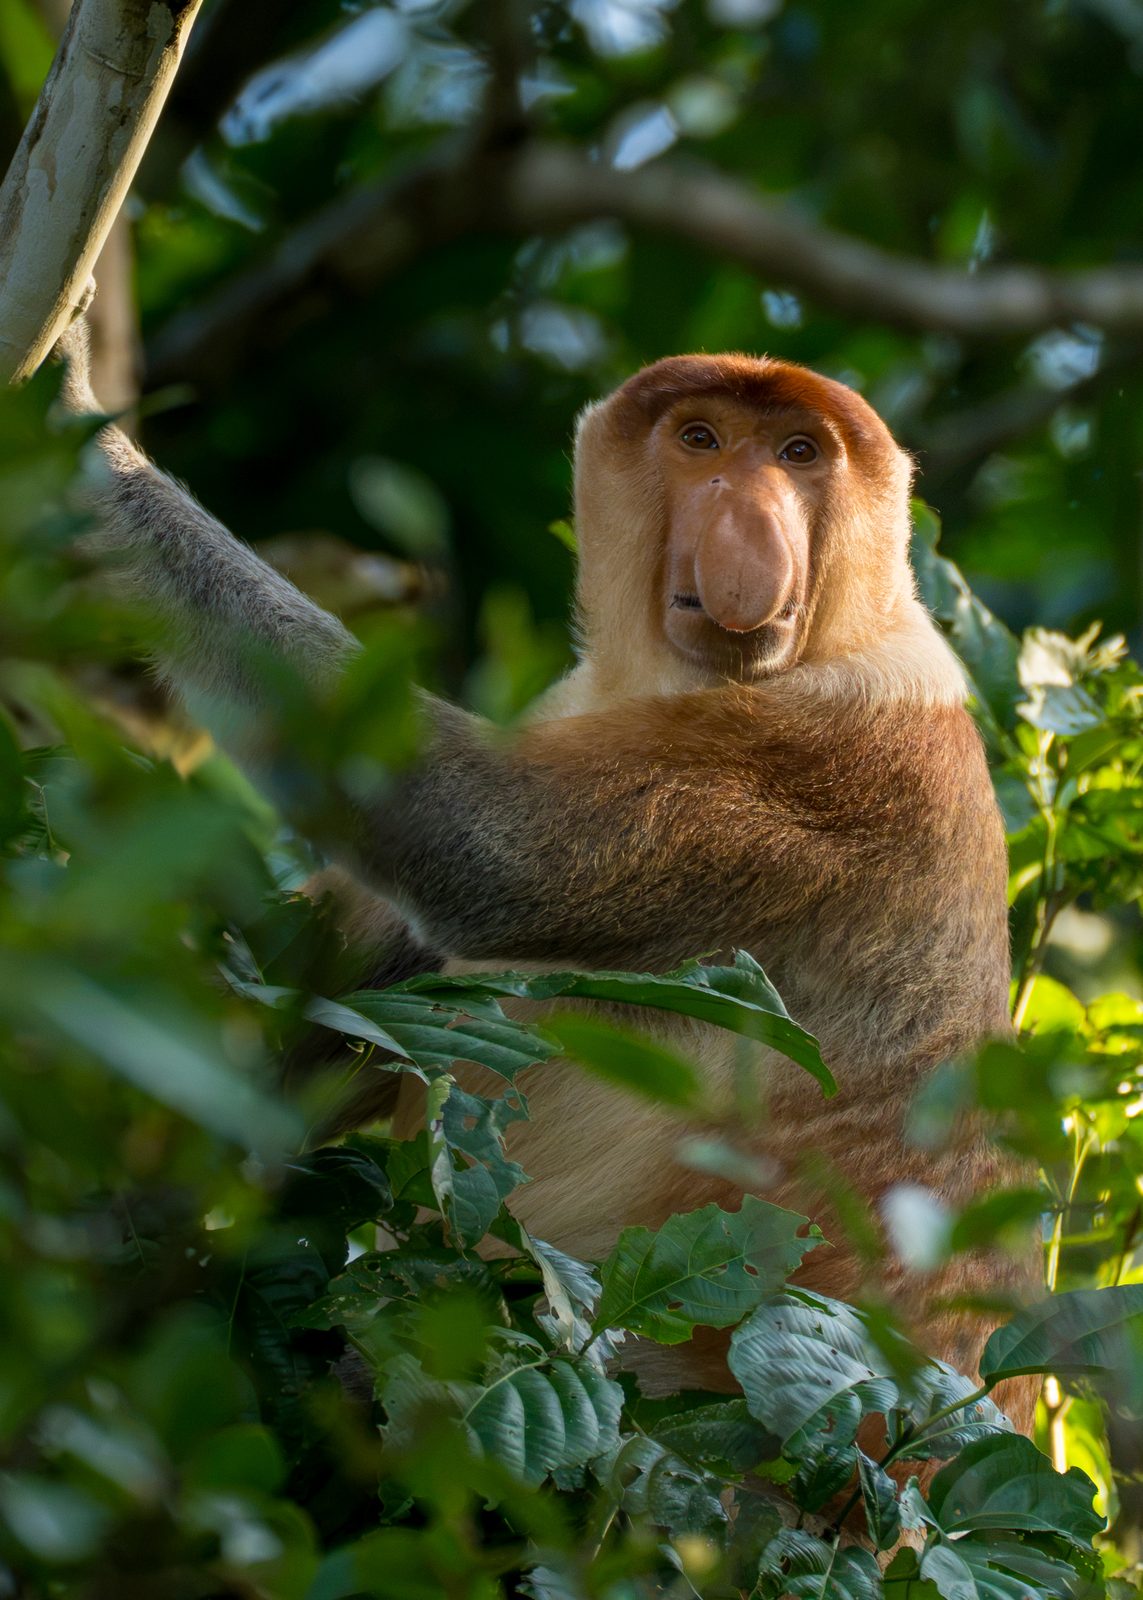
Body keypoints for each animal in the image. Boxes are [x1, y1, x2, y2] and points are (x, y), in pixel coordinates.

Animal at [56, 326, 1039, 1431]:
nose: (748, 524)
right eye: (701, 439)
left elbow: (479, 841)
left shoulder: (839, 756)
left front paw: (70, 395)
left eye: (798, 454)